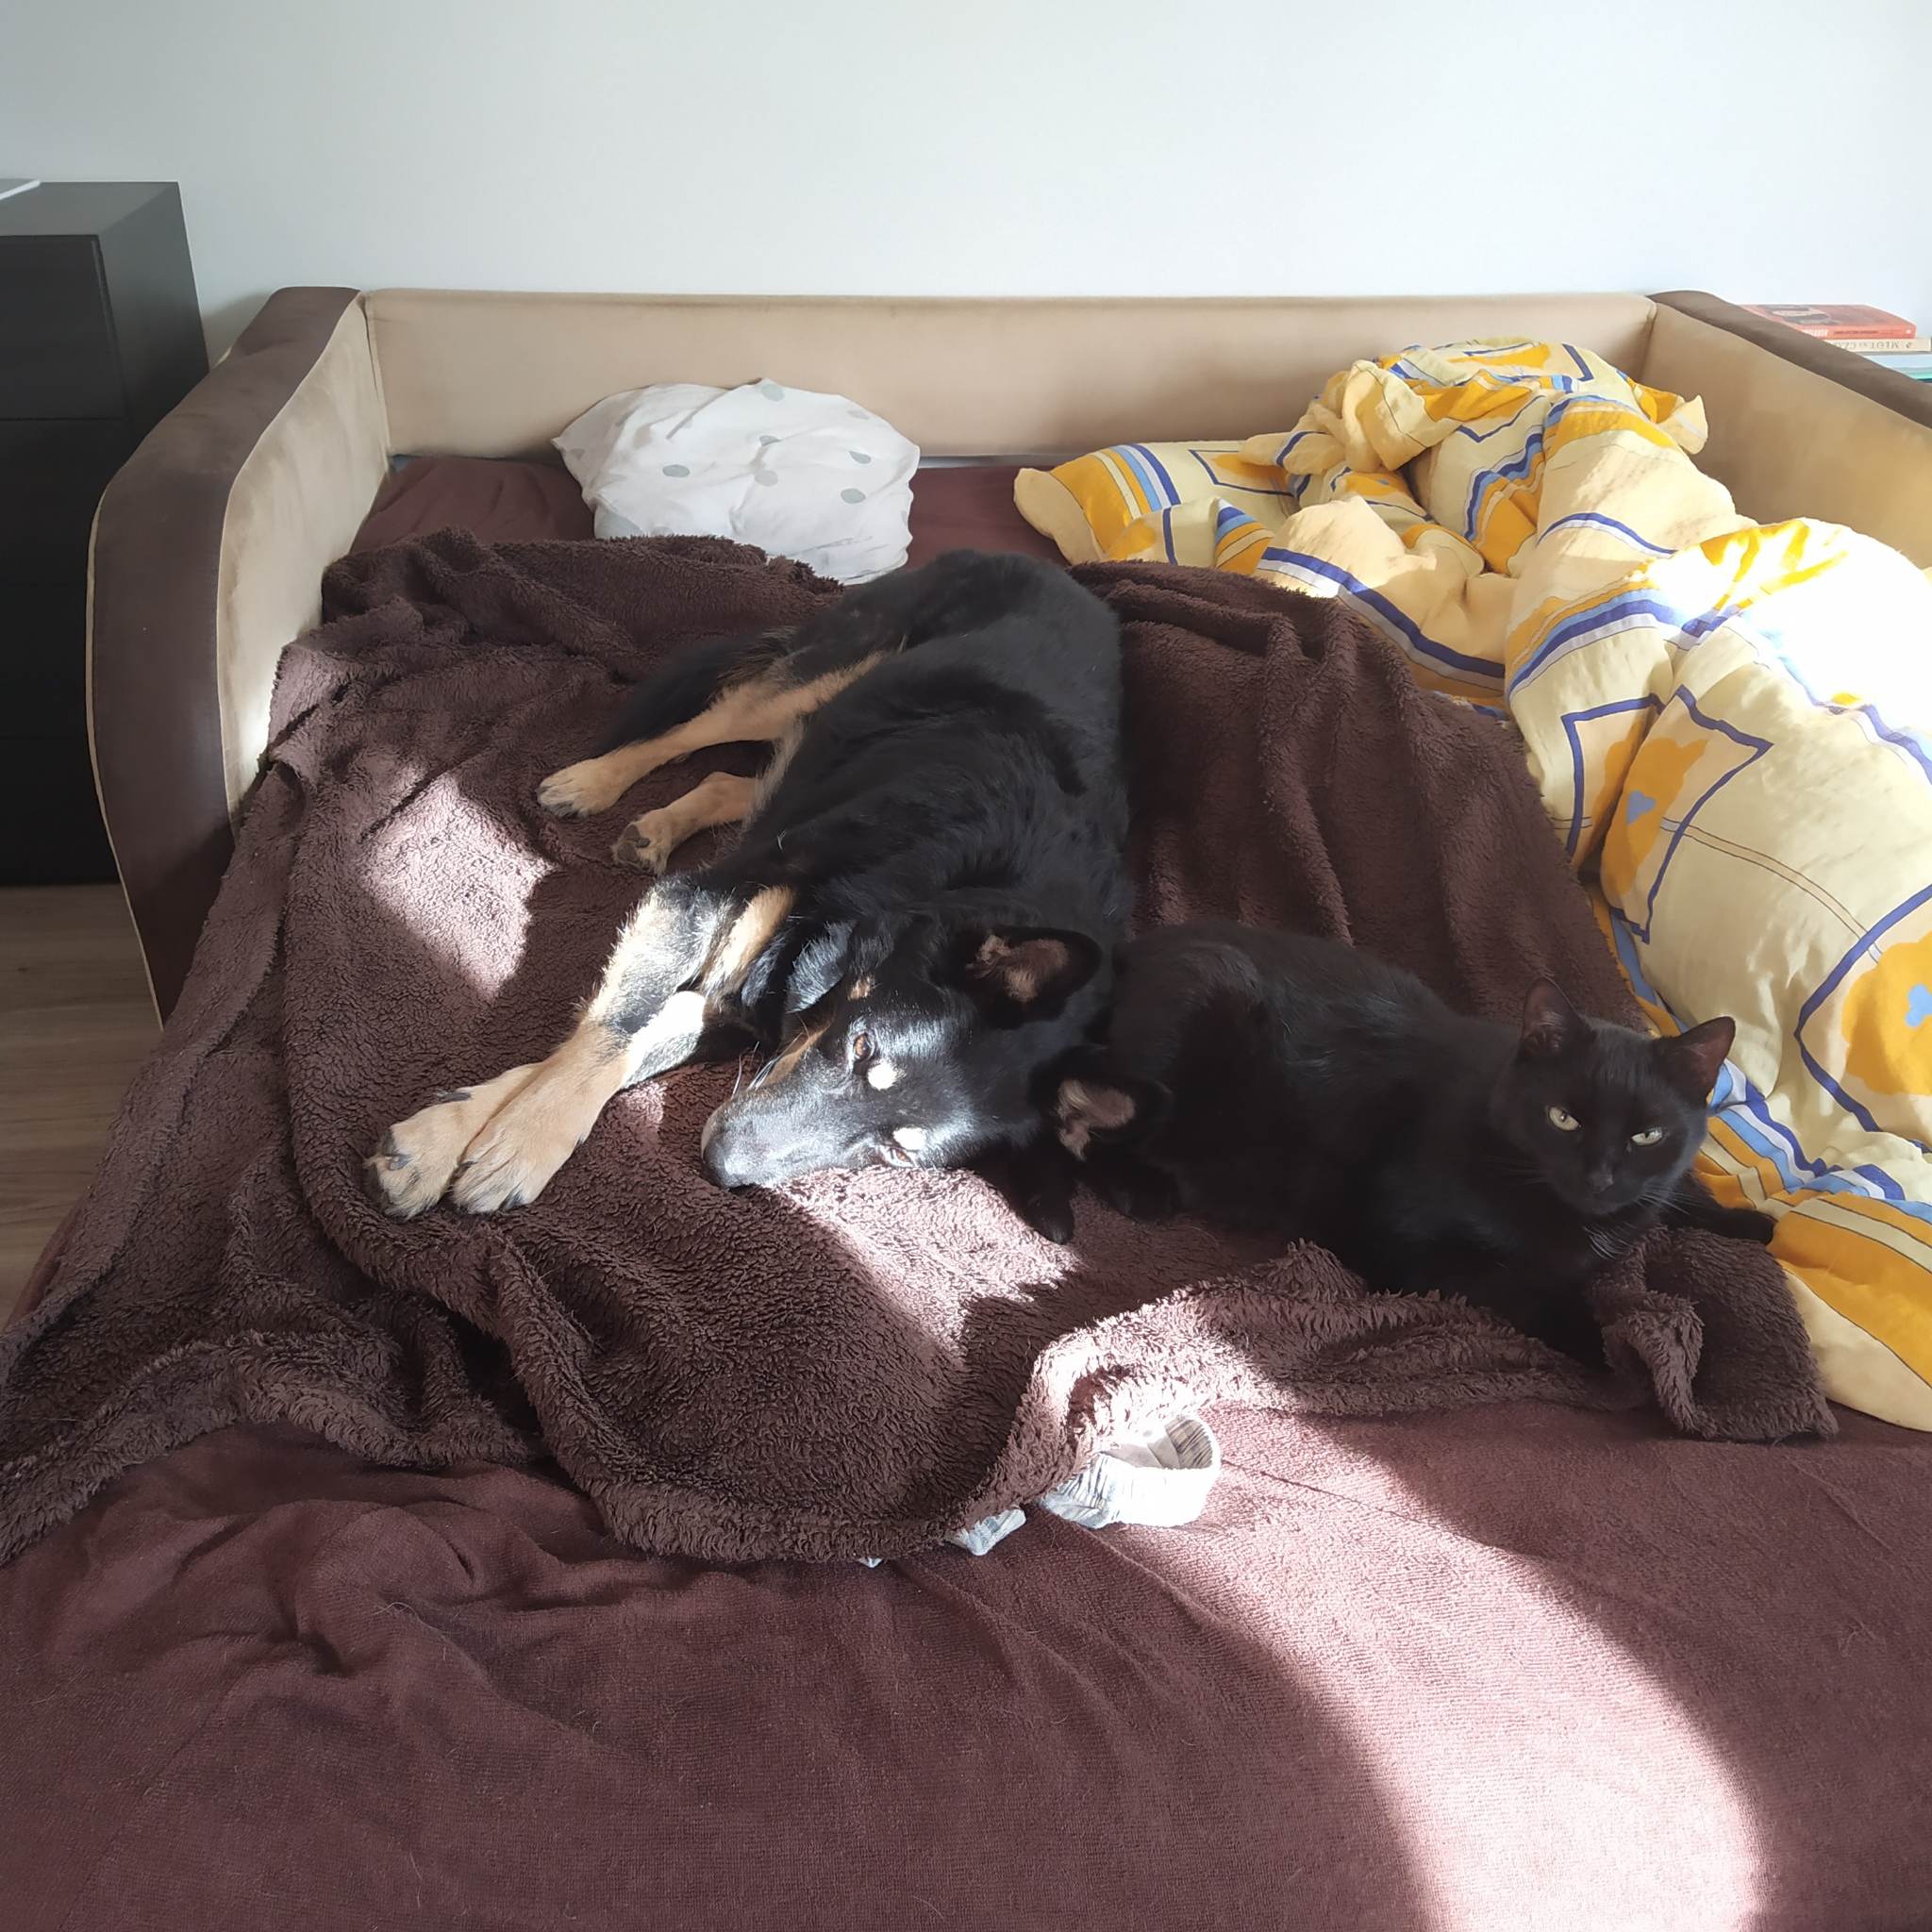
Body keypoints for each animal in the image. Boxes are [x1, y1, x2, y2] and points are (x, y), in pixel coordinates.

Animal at [365, 550, 1130, 1219]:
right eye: (863, 1048)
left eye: (896, 1153)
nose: (721, 1165)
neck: (920, 896)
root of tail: (1056, 572)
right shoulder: (699, 903)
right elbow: (613, 1029)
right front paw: (505, 1144)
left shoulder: (745, 995)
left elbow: (618, 1047)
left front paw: (462, 1138)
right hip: (821, 676)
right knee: (698, 733)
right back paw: (593, 781)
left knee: (734, 777)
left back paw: (659, 827)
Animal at [1047, 921, 1776, 1360]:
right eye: (1563, 1118)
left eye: (1647, 1133)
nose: (1599, 1177)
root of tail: (1130, 952)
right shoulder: (1398, 1237)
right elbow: (1513, 1284)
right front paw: (1598, 1345)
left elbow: (1675, 1197)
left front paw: (1747, 1222)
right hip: (1183, 1033)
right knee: (1076, 1126)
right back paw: (1141, 1189)